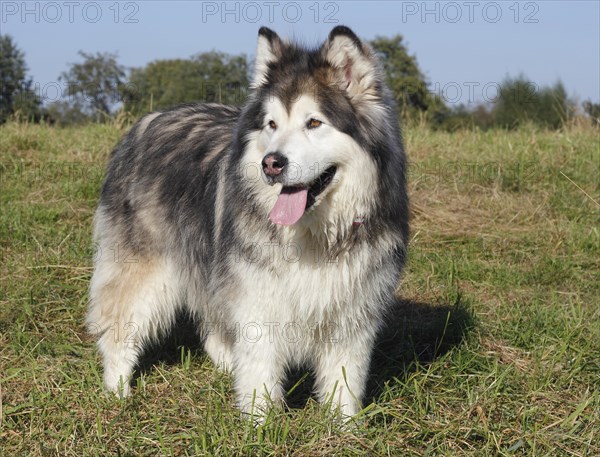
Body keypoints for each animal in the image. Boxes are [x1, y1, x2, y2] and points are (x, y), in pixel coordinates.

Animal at [86, 24, 410, 416]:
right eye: (272, 124)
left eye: (314, 122)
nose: (271, 163)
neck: (313, 235)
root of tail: (148, 120)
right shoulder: (257, 296)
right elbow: (262, 371)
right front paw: (260, 422)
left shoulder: (353, 310)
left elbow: (344, 380)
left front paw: (344, 425)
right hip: (147, 270)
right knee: (120, 327)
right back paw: (116, 392)